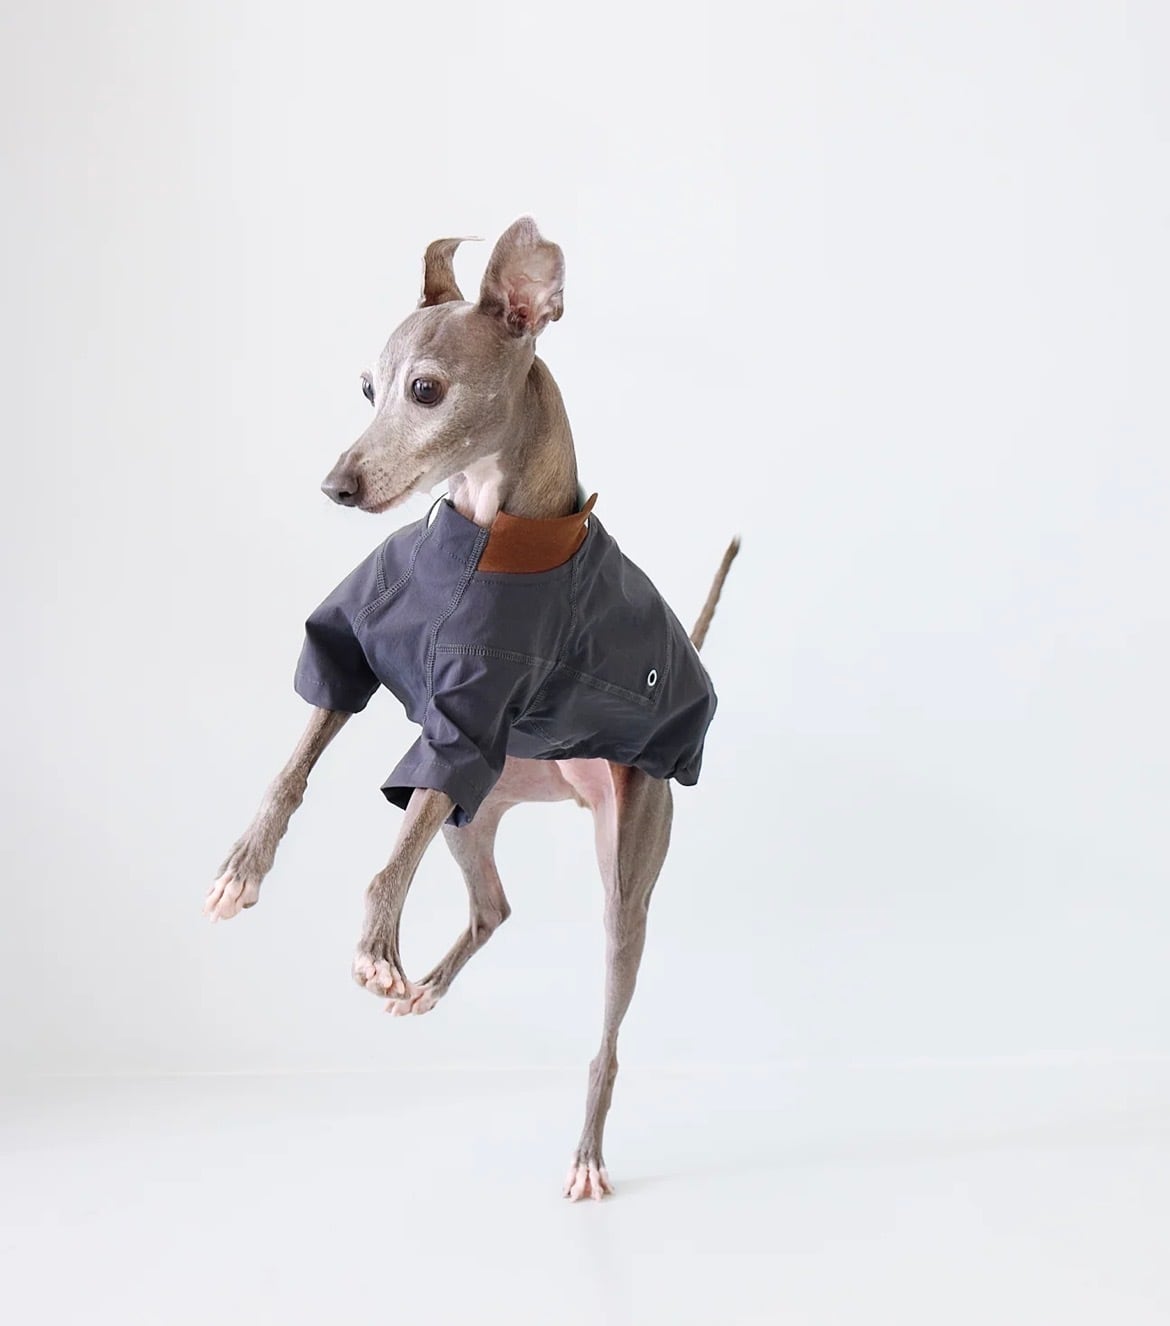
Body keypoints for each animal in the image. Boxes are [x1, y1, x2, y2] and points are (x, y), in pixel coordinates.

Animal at [204, 217, 738, 1201]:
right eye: (366, 387)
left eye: (426, 390)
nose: (337, 487)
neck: (482, 536)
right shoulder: (354, 638)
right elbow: (295, 760)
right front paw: (242, 870)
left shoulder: (463, 722)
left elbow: (391, 856)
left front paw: (375, 946)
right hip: (479, 808)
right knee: (492, 906)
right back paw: (427, 984)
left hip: (624, 854)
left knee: (608, 1025)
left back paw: (586, 1153)